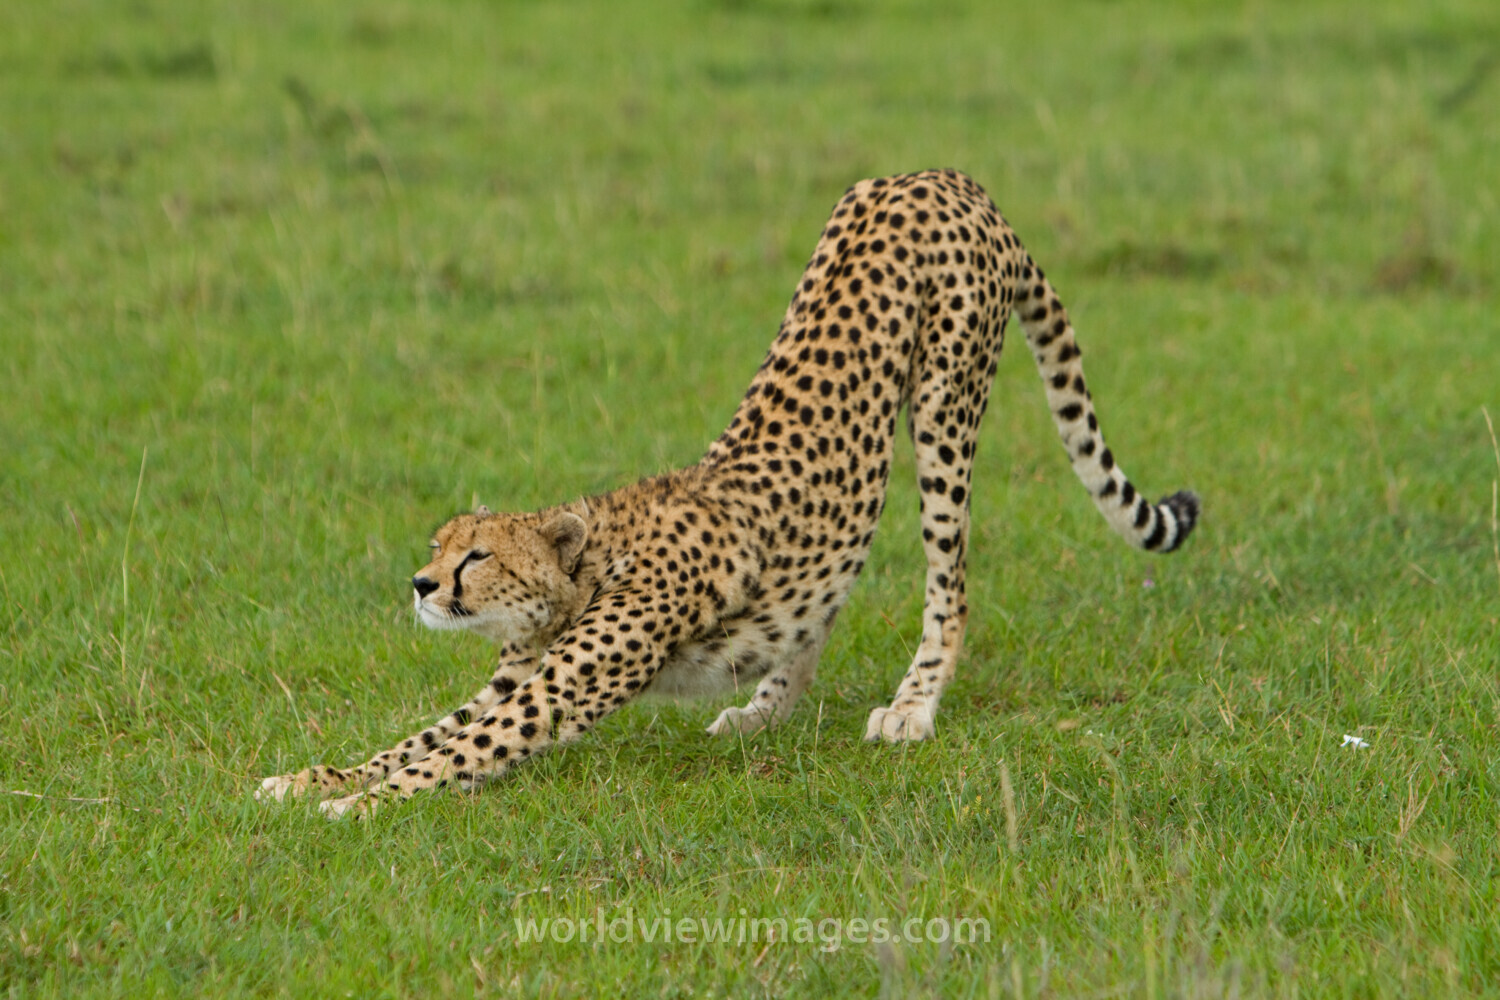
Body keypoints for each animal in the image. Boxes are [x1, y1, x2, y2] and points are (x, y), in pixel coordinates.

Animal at [257, 169, 1199, 818]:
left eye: (477, 556)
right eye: (436, 547)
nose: (420, 585)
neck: (587, 569)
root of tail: (942, 176)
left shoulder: (556, 691)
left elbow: (449, 754)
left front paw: (353, 806)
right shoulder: (516, 679)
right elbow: (418, 736)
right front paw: (312, 777)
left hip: (944, 409)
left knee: (950, 582)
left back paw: (911, 707)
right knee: (824, 597)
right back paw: (763, 708)